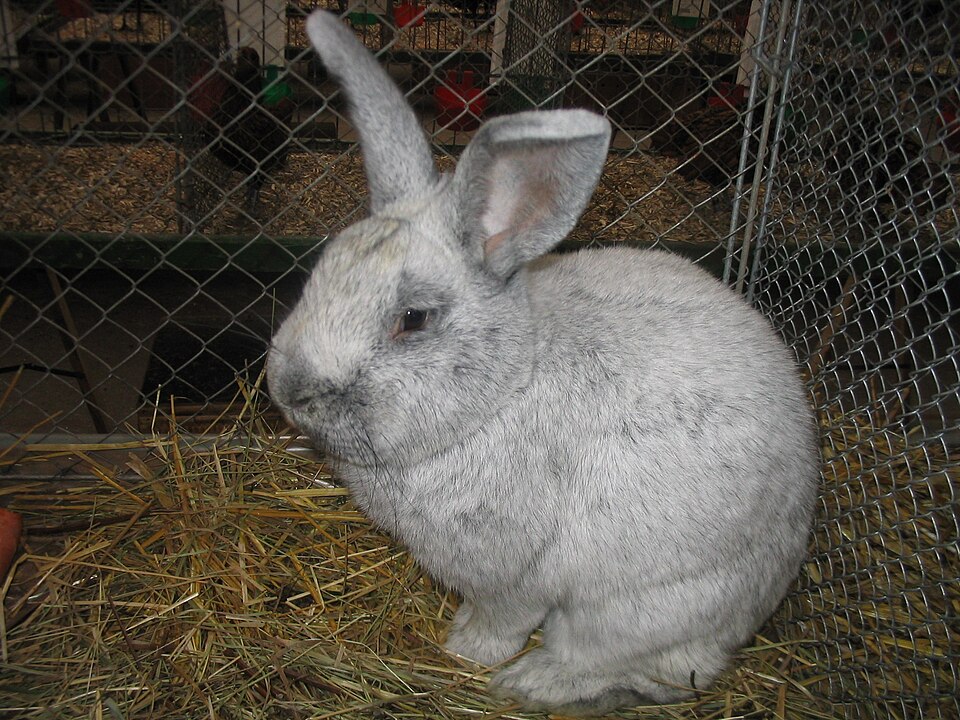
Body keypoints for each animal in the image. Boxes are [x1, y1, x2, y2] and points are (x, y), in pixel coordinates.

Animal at [267, 10, 820, 715]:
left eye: (413, 318)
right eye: (319, 275)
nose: (289, 391)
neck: (504, 391)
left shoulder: (511, 576)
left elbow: (500, 621)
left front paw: (464, 653)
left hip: (632, 611)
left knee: (639, 669)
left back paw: (530, 682)